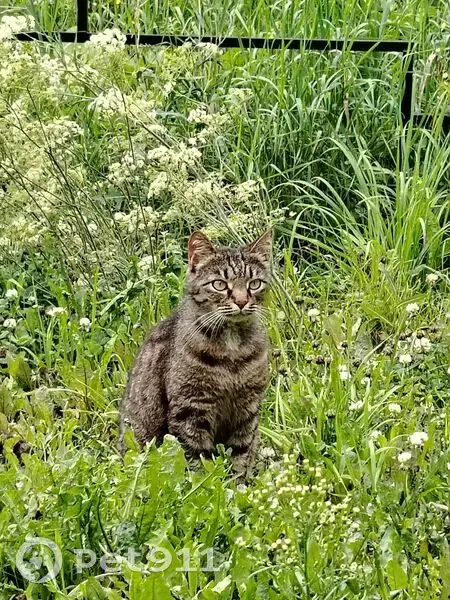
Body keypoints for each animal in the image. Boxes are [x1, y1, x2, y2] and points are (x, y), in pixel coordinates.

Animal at [119, 229, 272, 479]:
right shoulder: (190, 410)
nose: (241, 301)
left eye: (254, 283)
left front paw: (239, 484)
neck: (232, 354)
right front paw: (204, 483)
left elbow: (241, 456)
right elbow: (197, 461)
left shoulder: (247, 410)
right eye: (219, 284)